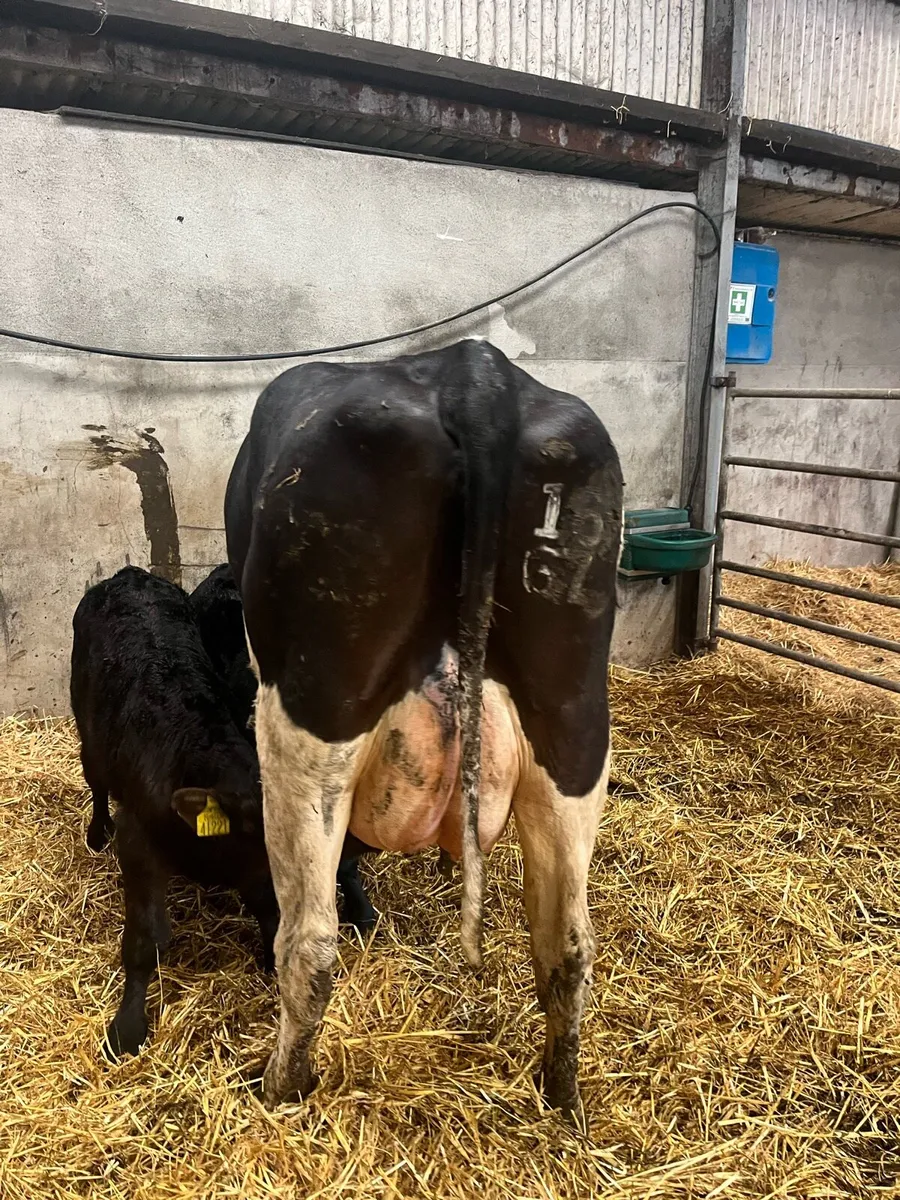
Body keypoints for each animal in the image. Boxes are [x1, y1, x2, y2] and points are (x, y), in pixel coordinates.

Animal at [71, 566, 279, 1057]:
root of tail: (129, 574)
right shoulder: (138, 841)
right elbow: (145, 939)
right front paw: (126, 1029)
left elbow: (267, 909)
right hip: (87, 732)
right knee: (96, 783)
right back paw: (97, 831)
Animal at [225, 339, 623, 1117]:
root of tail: (476, 370)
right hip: (574, 722)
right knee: (568, 945)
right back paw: (561, 1099)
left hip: (310, 714)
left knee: (310, 943)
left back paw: (280, 1086)